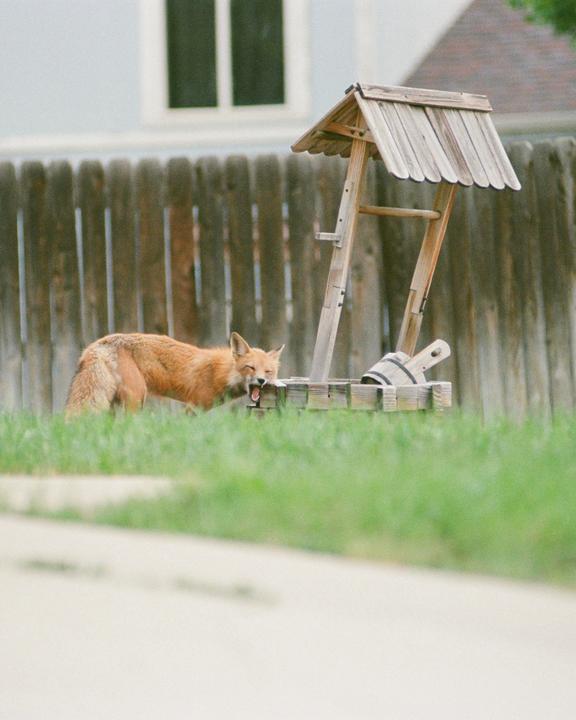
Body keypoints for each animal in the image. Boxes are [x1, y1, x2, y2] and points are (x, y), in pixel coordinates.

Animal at [64, 331, 284, 417]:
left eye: (268, 371)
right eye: (250, 367)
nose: (261, 380)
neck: (220, 373)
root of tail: (97, 344)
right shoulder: (194, 406)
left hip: (113, 403)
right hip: (137, 396)